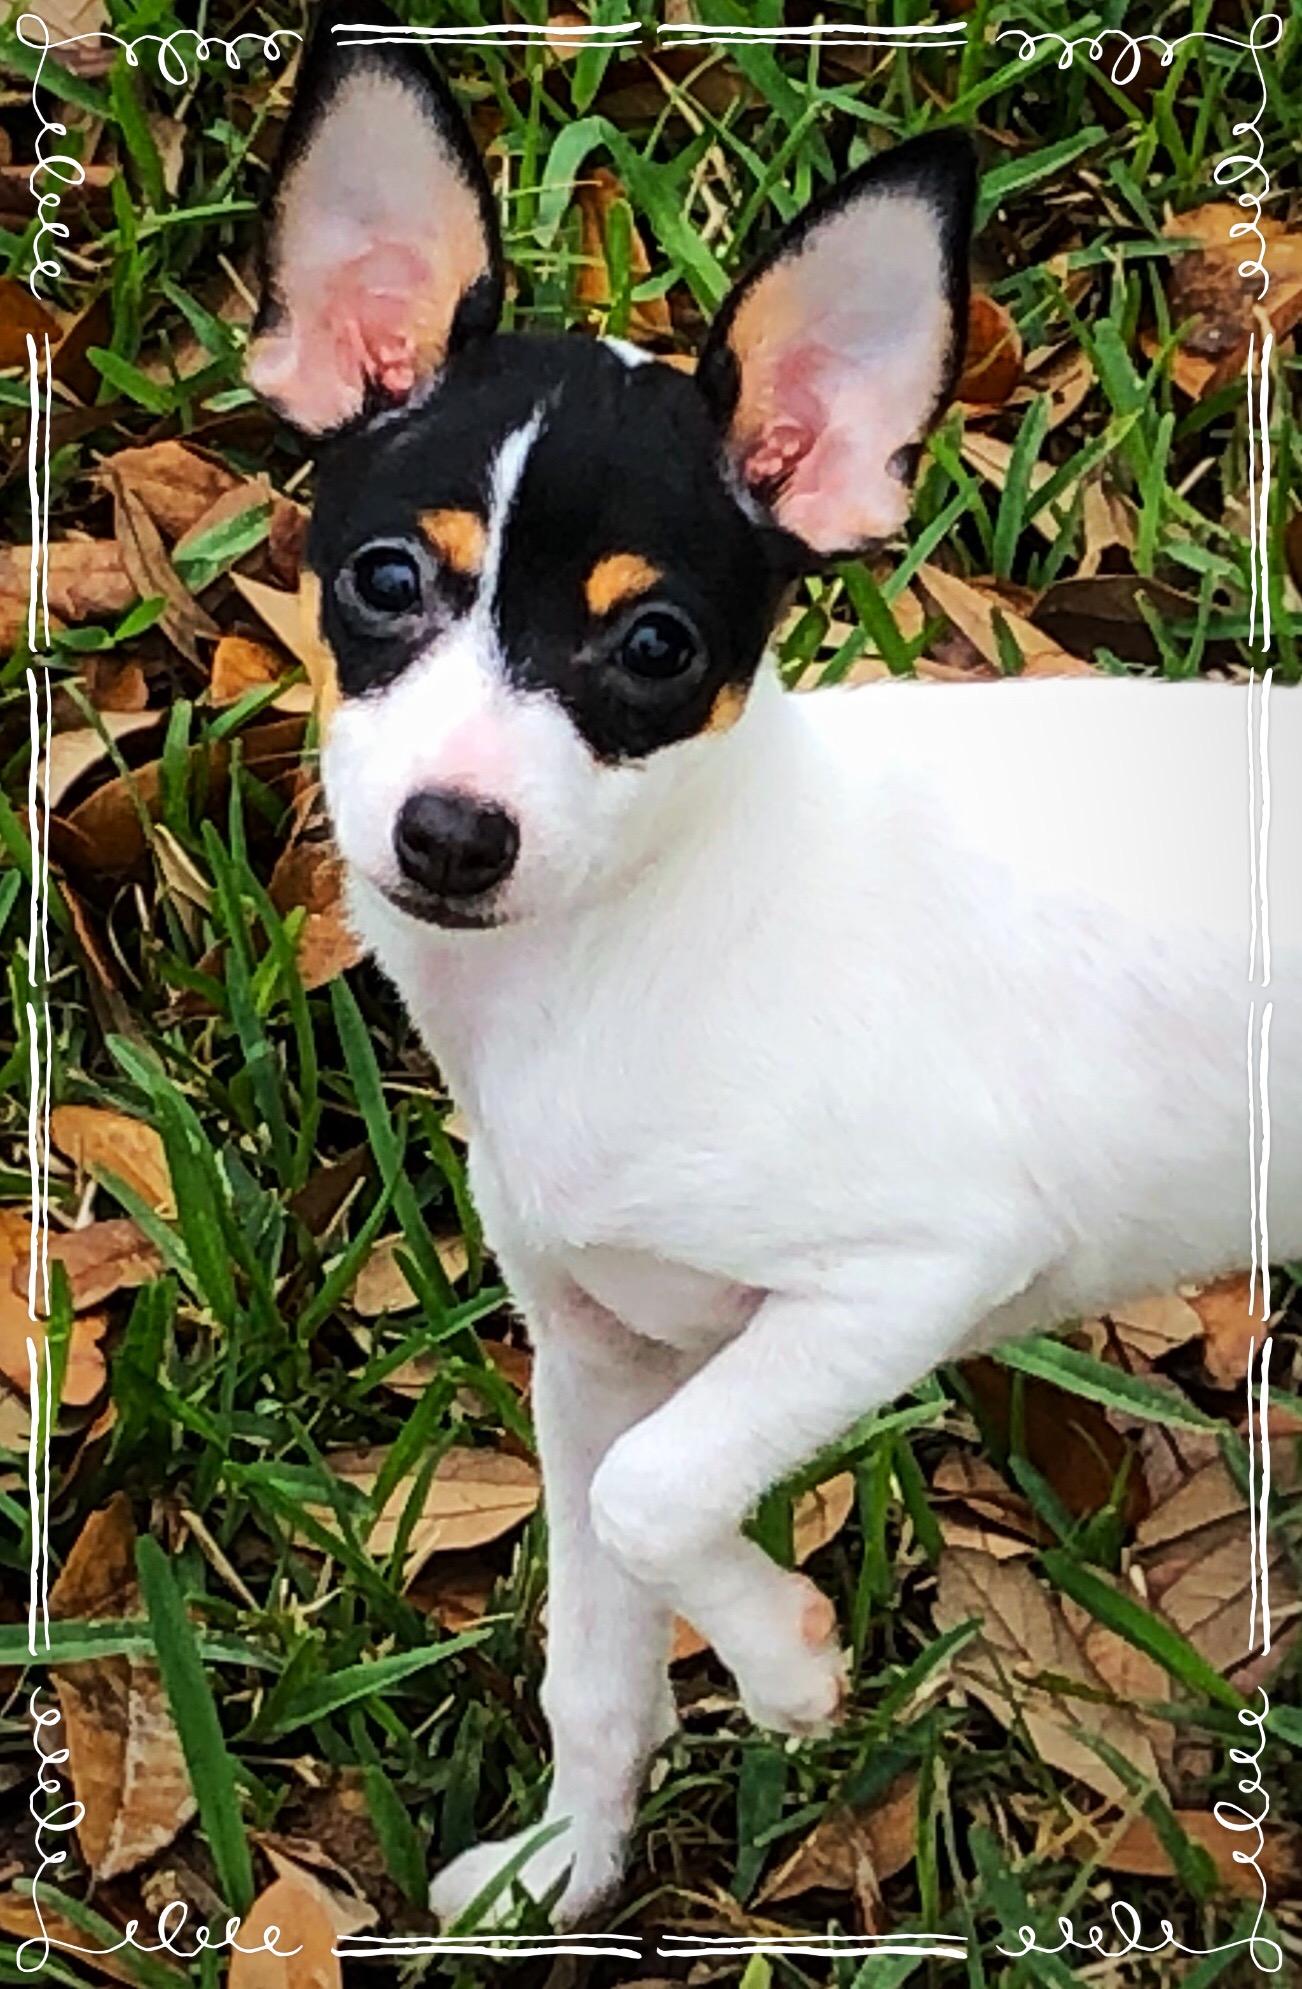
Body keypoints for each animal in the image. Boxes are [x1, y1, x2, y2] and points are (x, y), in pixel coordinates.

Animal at [249, 6, 1300, 1928]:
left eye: (658, 647)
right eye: (382, 581)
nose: (451, 833)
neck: (626, 946)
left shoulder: (911, 1272)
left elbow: (655, 1499)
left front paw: (788, 1662)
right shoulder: (588, 1351)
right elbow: (594, 1637)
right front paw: (568, 1863)